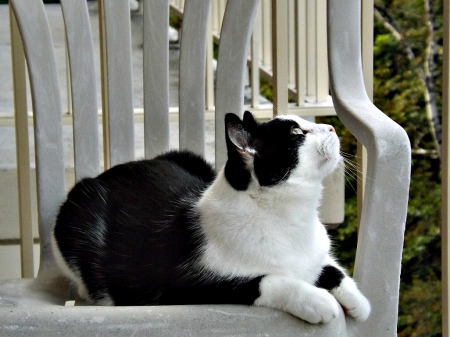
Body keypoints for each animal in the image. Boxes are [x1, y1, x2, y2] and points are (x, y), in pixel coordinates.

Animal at [52, 111, 370, 322]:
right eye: (296, 133)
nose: (331, 126)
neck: (292, 219)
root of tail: (105, 174)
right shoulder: (182, 287)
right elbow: (265, 281)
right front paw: (317, 300)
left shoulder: (315, 255)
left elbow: (328, 267)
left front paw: (358, 300)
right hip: (79, 208)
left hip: (189, 156)